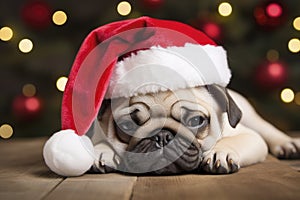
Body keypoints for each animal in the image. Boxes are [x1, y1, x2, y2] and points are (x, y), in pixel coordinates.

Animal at [87, 85, 300, 174]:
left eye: (196, 120)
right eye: (127, 126)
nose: (162, 136)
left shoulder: (249, 136)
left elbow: (231, 140)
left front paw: (219, 153)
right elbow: (101, 142)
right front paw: (100, 152)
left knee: (267, 129)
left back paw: (288, 145)